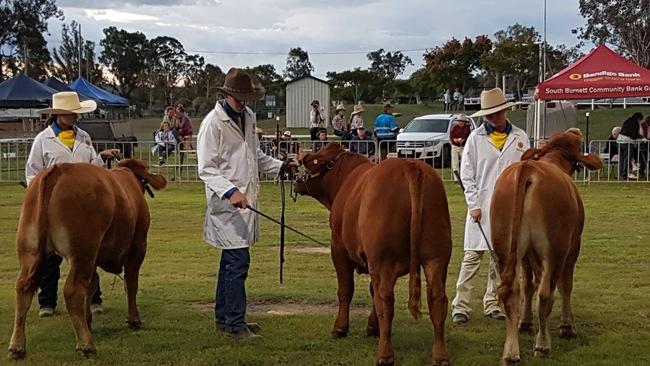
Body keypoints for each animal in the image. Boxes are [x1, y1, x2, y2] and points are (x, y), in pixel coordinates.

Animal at [8, 160, 165, 360]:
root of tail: (59, 169)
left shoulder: (95, 259)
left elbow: (92, 284)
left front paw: (88, 320)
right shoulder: (137, 247)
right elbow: (131, 283)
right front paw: (133, 319)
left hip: (31, 249)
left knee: (23, 288)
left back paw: (17, 346)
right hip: (83, 251)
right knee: (72, 291)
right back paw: (86, 344)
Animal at [294, 143, 450, 366]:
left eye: (314, 157)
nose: (297, 179)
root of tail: (410, 165)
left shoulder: (339, 249)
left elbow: (346, 290)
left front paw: (340, 328)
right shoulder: (372, 260)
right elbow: (371, 290)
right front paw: (372, 326)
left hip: (384, 259)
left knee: (386, 299)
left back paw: (385, 354)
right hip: (436, 256)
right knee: (437, 298)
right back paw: (440, 355)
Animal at [492, 129, 604, 364]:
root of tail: (528, 169)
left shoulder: (527, 255)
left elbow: (528, 284)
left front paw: (525, 323)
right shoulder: (573, 246)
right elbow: (565, 285)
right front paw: (567, 326)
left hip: (505, 250)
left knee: (512, 293)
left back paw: (511, 352)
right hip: (555, 250)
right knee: (545, 295)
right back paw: (542, 345)